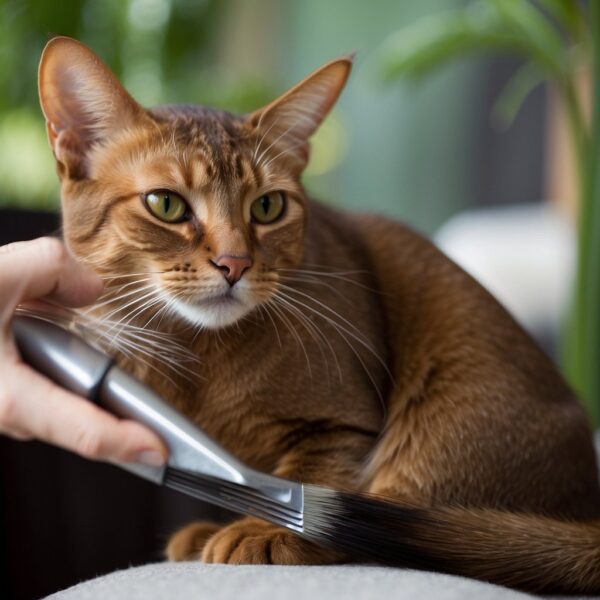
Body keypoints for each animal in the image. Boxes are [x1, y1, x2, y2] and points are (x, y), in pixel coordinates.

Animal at [37, 37, 600, 596]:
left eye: (267, 207)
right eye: (166, 204)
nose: (235, 263)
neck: (195, 362)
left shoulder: (344, 423)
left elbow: (315, 480)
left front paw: (270, 529)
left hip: (452, 415)